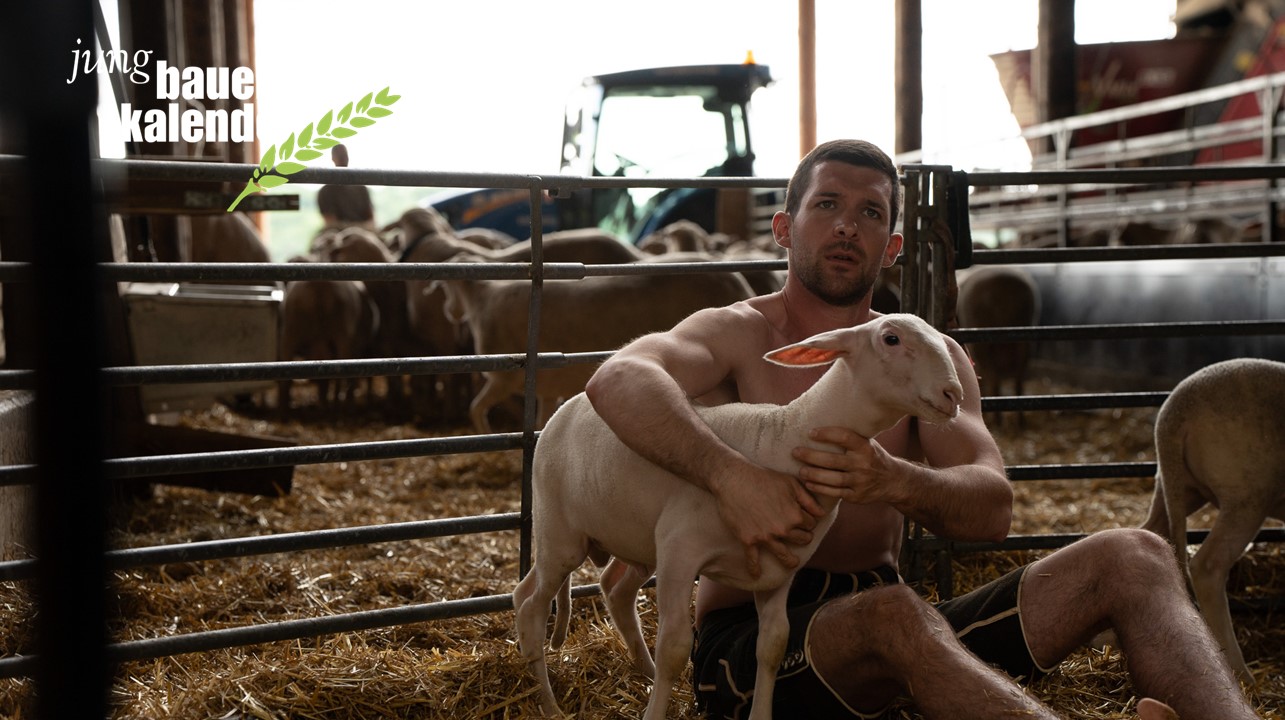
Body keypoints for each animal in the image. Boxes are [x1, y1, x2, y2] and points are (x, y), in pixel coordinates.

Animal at [437, 264, 756, 433]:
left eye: (448, 287)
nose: (449, 312)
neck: (479, 302)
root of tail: (739, 285)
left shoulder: (504, 379)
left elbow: (475, 409)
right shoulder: (545, 388)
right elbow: (540, 422)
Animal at [513, 313, 963, 720]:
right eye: (891, 338)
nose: (953, 393)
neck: (783, 437)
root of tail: (567, 407)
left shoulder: (780, 572)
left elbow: (773, 646)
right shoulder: (680, 552)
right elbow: (675, 649)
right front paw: (656, 710)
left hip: (630, 538)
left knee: (601, 590)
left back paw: (641, 672)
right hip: (560, 533)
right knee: (533, 605)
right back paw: (550, 705)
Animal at [1140, 357, 1285, 682]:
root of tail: (1173, 416)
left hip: (1175, 485)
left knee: (1150, 532)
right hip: (1247, 492)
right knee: (1207, 566)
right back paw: (1240, 672)